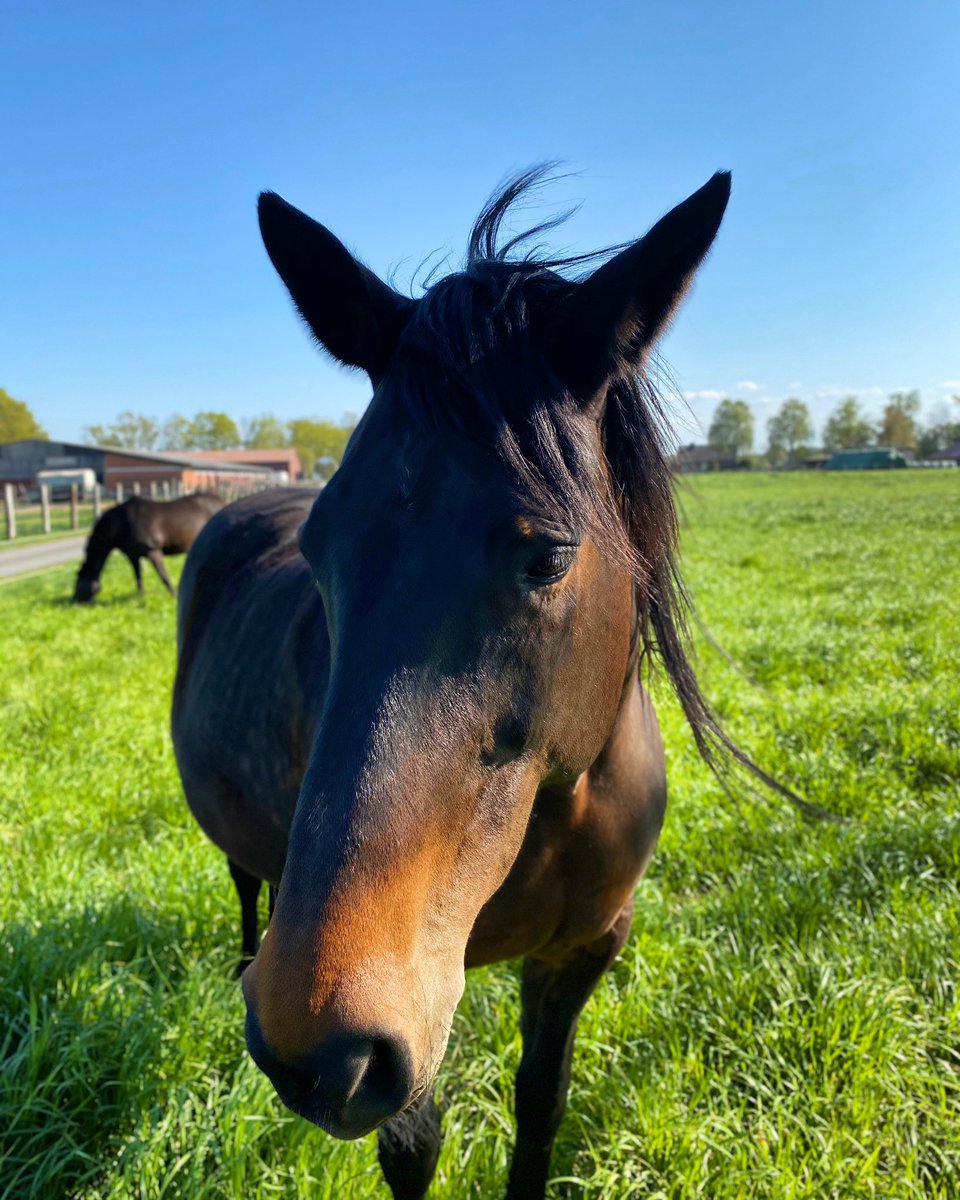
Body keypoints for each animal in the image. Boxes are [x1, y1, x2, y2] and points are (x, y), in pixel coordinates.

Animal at [74, 493, 224, 602]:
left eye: (78, 579)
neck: (123, 523)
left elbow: (164, 576)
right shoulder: (133, 556)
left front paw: (174, 595)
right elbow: (138, 578)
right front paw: (142, 597)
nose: (74, 601)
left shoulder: (154, 552)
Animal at [172, 168, 799, 1199]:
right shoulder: (416, 1007)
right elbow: (413, 1147)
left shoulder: (583, 952)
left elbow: (540, 1106)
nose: (309, 1044)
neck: (556, 808)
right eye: (321, 548)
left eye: (549, 556)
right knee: (244, 882)